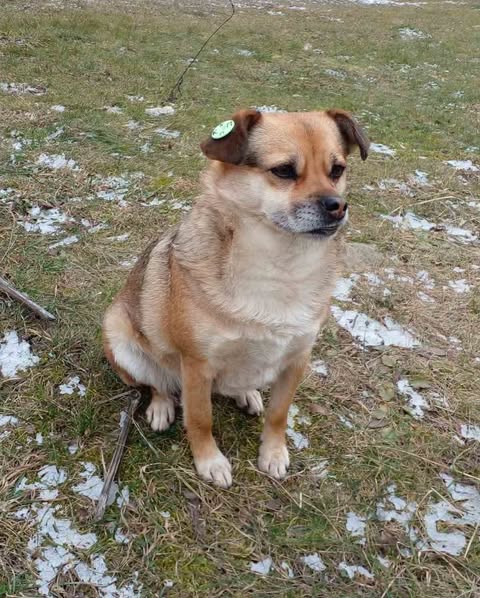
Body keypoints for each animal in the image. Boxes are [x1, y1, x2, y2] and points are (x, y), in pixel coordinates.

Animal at [103, 110, 370, 490]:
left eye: (337, 170)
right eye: (284, 171)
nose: (337, 206)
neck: (280, 265)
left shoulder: (297, 359)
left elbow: (279, 414)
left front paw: (273, 452)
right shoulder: (196, 365)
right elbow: (200, 419)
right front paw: (209, 461)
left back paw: (247, 394)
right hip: (121, 338)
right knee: (156, 382)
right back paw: (161, 405)